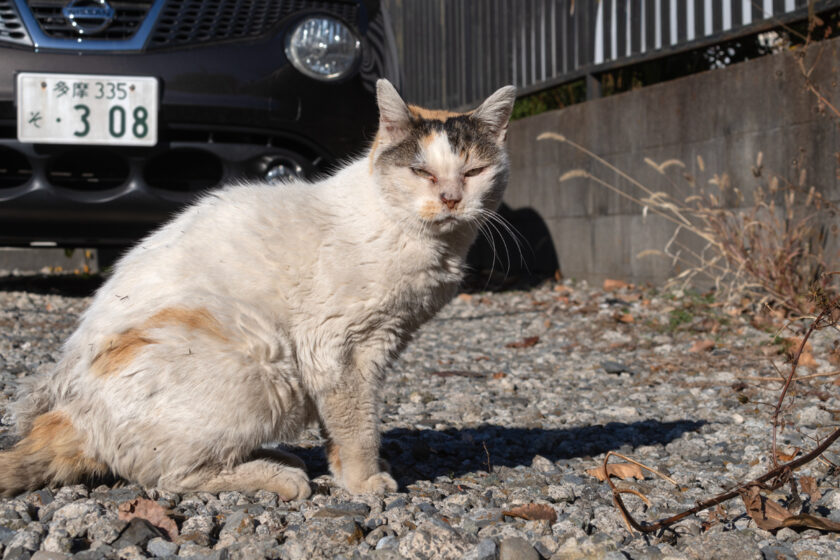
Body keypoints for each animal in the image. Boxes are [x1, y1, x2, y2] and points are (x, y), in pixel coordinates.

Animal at [0, 80, 516, 498]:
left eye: (472, 173)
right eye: (422, 172)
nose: (451, 198)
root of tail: (71, 410)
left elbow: (344, 423)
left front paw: (345, 470)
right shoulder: (339, 347)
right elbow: (357, 422)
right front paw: (364, 481)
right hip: (265, 362)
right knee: (169, 477)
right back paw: (280, 475)